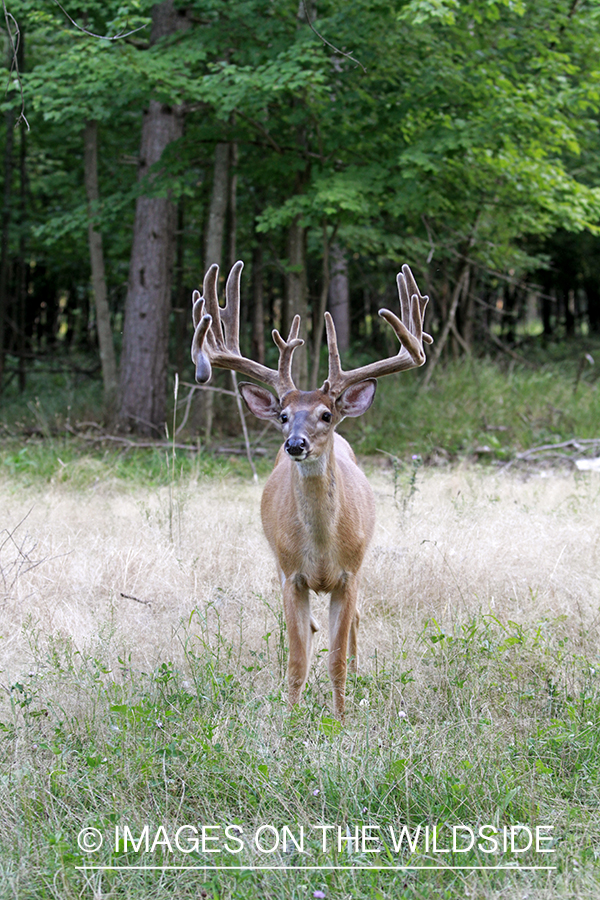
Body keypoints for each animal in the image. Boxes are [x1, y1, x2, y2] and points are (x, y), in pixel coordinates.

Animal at [190, 258, 428, 716]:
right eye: (283, 415)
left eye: (325, 414)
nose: (295, 444)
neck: (320, 550)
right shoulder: (291, 576)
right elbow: (297, 660)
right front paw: (292, 715)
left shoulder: (349, 574)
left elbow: (335, 659)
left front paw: (341, 716)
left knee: (355, 625)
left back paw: (358, 671)